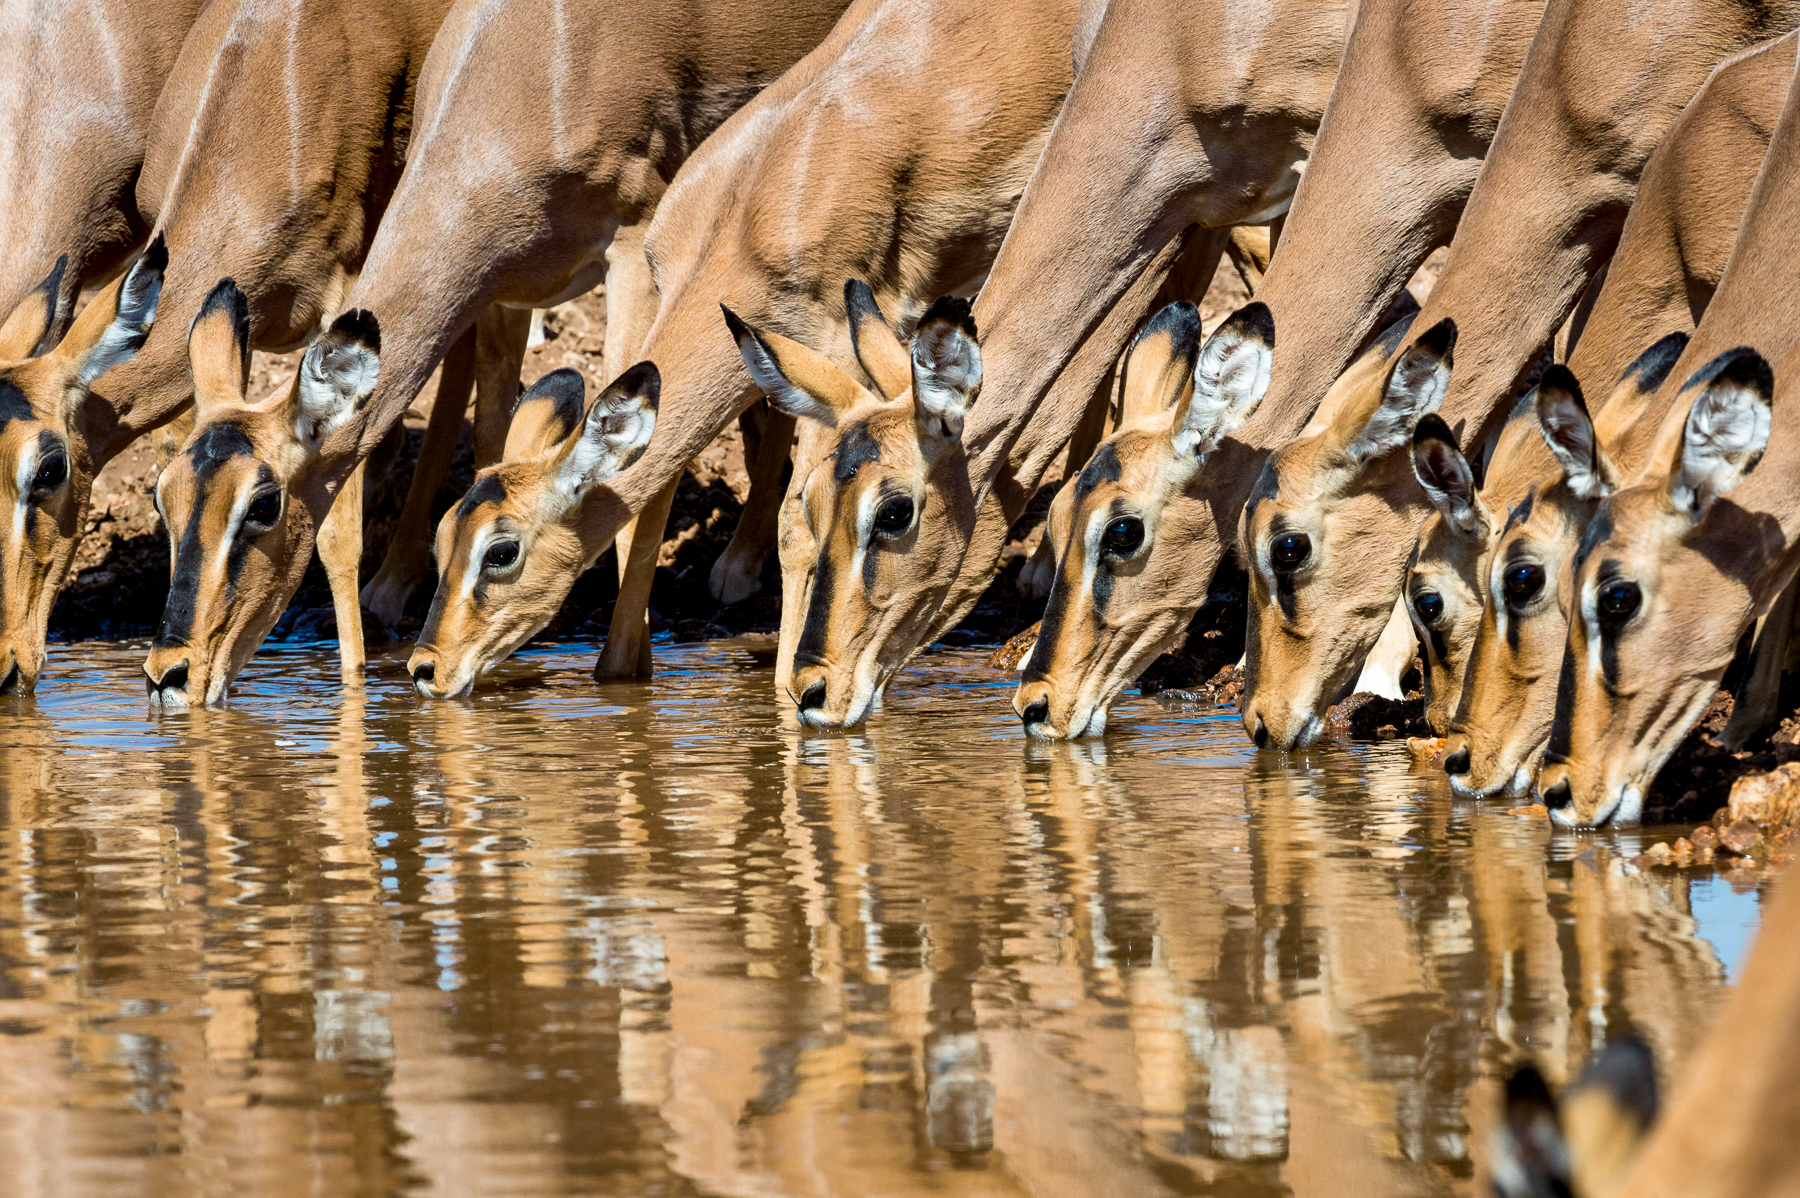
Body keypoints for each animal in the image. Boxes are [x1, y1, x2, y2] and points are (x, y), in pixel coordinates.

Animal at [141, 0, 850, 705]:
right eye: (162, 498)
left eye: (262, 504)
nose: (168, 673)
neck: (536, 69)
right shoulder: (506, 285)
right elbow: (495, 435)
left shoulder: (634, 252)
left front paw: (624, 673)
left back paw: (738, 571)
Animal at [406, 0, 1091, 699]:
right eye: (442, 535)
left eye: (501, 550)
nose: (424, 668)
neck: (746, 214)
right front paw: (620, 670)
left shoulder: (835, 355)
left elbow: (797, 525)